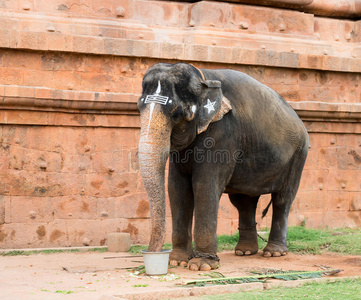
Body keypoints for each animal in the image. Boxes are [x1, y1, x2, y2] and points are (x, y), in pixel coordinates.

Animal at [136, 62, 308, 270]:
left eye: (177, 114)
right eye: (138, 108)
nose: (151, 254)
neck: (203, 77)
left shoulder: (223, 132)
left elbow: (204, 186)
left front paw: (201, 265)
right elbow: (177, 188)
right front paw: (177, 261)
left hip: (298, 155)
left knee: (283, 199)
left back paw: (273, 253)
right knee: (243, 202)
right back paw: (245, 252)